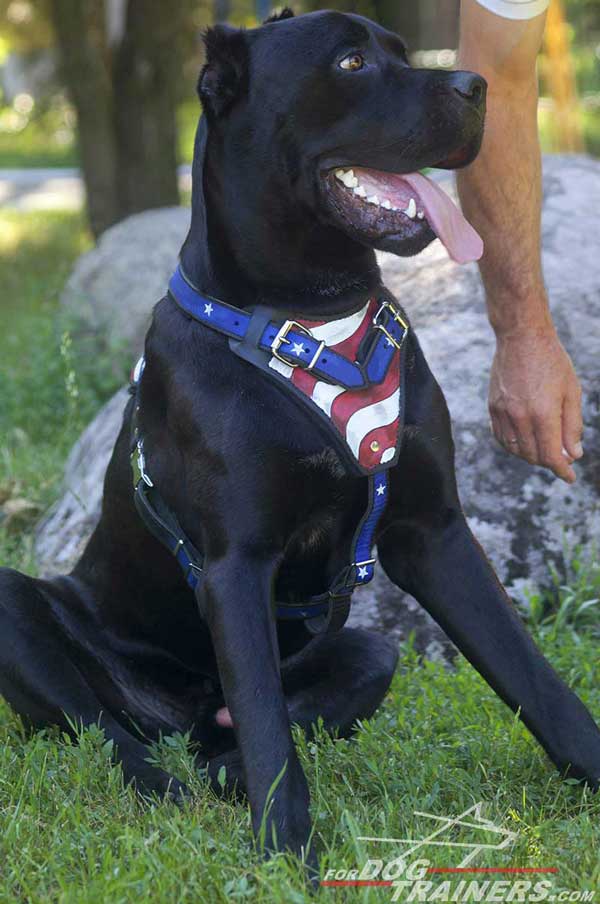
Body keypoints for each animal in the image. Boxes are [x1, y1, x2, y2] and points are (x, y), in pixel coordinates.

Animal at [1, 8, 600, 868]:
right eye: (350, 63)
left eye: (402, 51)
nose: (477, 85)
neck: (315, 317)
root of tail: (181, 708)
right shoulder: (236, 563)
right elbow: (267, 732)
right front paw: (289, 857)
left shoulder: (434, 532)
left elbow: (532, 675)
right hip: (17, 610)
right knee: (113, 733)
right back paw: (167, 783)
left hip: (369, 652)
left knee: (236, 738)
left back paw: (213, 770)